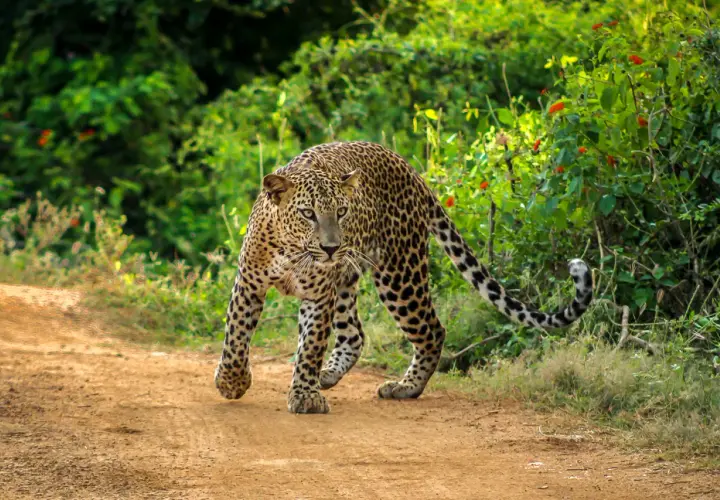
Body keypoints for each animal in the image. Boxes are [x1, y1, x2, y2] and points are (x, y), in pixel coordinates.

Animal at [214, 141, 593, 414]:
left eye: (342, 212)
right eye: (307, 214)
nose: (332, 247)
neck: (294, 249)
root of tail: (410, 169)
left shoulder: (319, 294)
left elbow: (310, 346)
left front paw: (304, 395)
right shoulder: (249, 283)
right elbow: (236, 335)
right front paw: (232, 382)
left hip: (399, 273)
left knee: (432, 330)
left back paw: (405, 387)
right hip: (351, 280)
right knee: (354, 334)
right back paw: (331, 375)